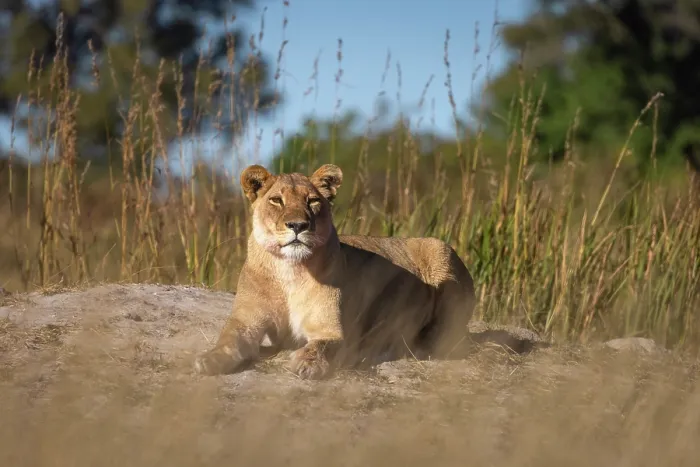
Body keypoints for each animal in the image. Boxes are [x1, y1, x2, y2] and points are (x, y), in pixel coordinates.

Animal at [193, 164, 477, 380]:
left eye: (312, 201)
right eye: (276, 200)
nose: (298, 225)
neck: (289, 270)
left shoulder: (331, 329)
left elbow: (321, 345)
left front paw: (306, 363)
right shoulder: (246, 320)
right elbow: (228, 339)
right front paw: (209, 359)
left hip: (439, 248)